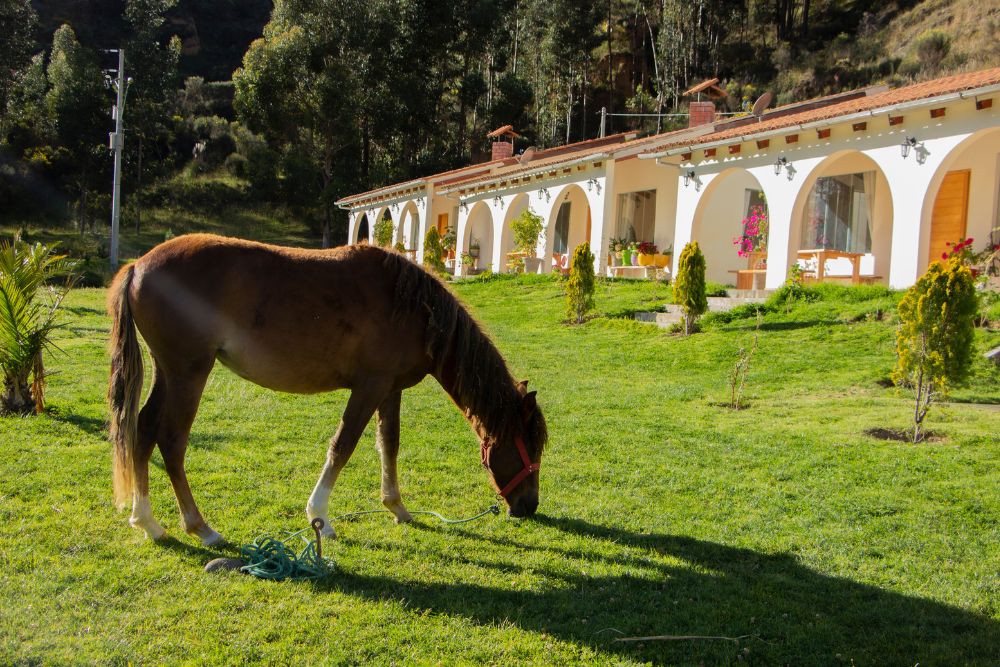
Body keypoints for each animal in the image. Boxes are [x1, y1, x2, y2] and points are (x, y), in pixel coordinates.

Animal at [107, 234, 547, 546]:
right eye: (530, 445)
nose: (530, 506)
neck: (413, 308)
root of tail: (138, 266)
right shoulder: (369, 387)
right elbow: (344, 445)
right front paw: (319, 515)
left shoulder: (389, 389)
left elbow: (389, 443)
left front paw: (396, 507)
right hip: (189, 373)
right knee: (171, 441)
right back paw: (200, 526)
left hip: (168, 372)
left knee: (143, 431)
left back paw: (147, 522)